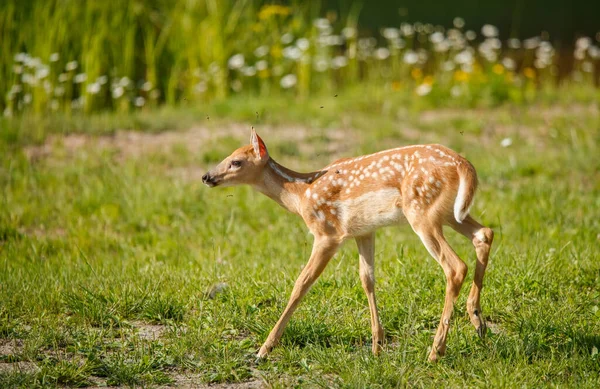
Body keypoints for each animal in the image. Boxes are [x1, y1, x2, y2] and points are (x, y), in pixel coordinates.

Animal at [202, 128, 492, 360]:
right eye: (227, 156)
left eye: (236, 162)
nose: (206, 176)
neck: (302, 195)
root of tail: (463, 164)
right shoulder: (364, 231)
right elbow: (367, 278)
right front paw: (377, 347)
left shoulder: (327, 233)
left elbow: (301, 283)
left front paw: (264, 349)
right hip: (449, 213)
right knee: (484, 233)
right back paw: (478, 322)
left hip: (422, 212)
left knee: (455, 266)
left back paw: (435, 351)